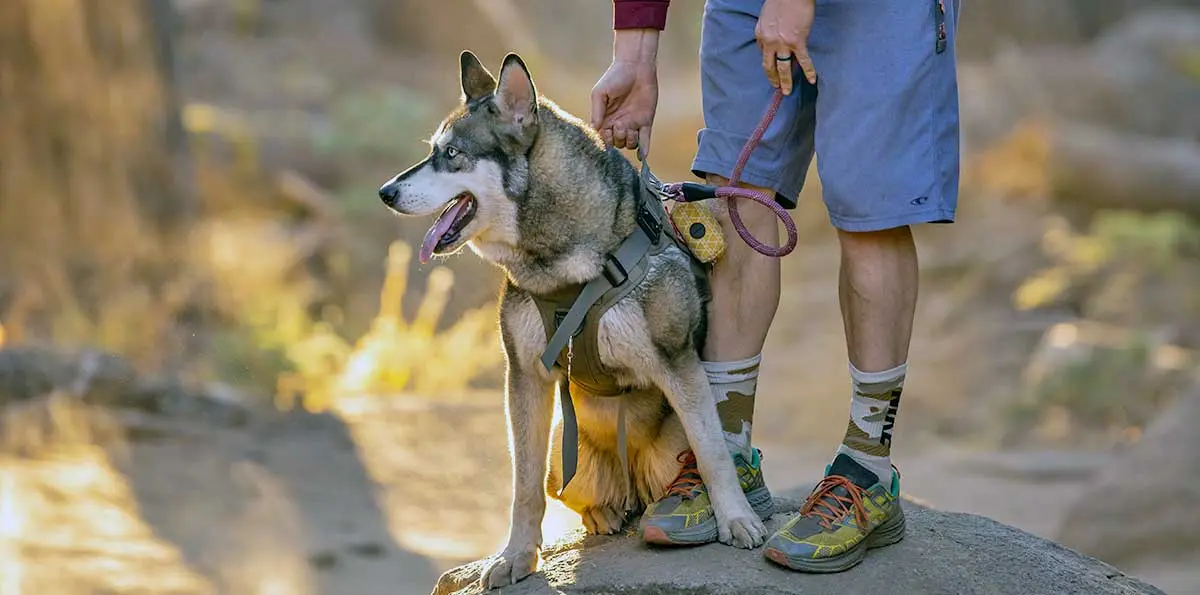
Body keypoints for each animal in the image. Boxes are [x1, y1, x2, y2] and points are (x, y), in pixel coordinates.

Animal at [374, 50, 768, 590]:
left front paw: (735, 519)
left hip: (667, 449)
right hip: (565, 454)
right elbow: (522, 486)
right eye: (435, 150)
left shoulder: (678, 363)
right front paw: (516, 556)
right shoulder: (524, 377)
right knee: (571, 494)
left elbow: (713, 454)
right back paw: (603, 515)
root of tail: (631, 486)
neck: (565, 268)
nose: (385, 192)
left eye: (452, 154)